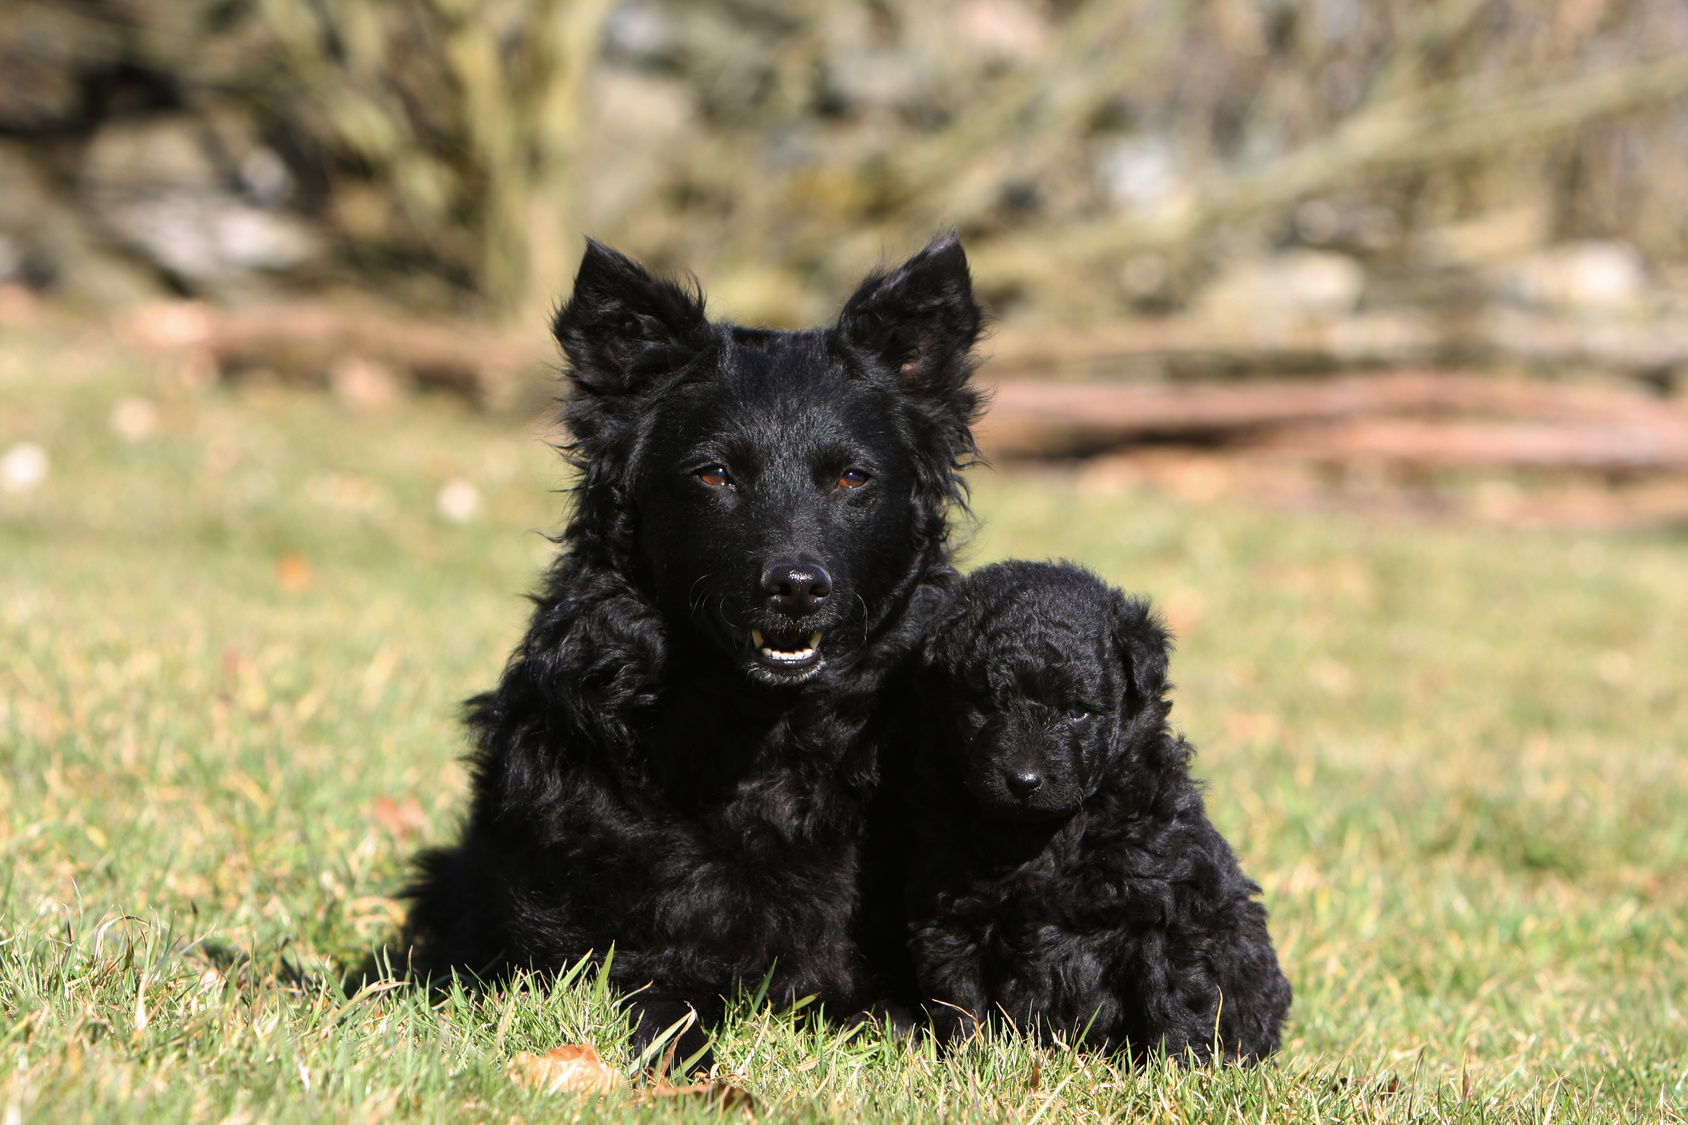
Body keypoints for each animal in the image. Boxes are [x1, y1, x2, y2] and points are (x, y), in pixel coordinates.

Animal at [401, 234, 985, 1067]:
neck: (763, 738)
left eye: (852, 477)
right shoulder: (620, 958)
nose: (796, 587)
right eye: (714, 473)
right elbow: (661, 1010)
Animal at [904, 557, 1282, 1060]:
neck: (1046, 837)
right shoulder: (952, 911)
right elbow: (960, 996)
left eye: (1078, 711)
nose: (1024, 781)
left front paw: (1180, 1068)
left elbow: (1177, 996)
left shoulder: (1169, 910)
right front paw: (969, 1058)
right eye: (986, 703)